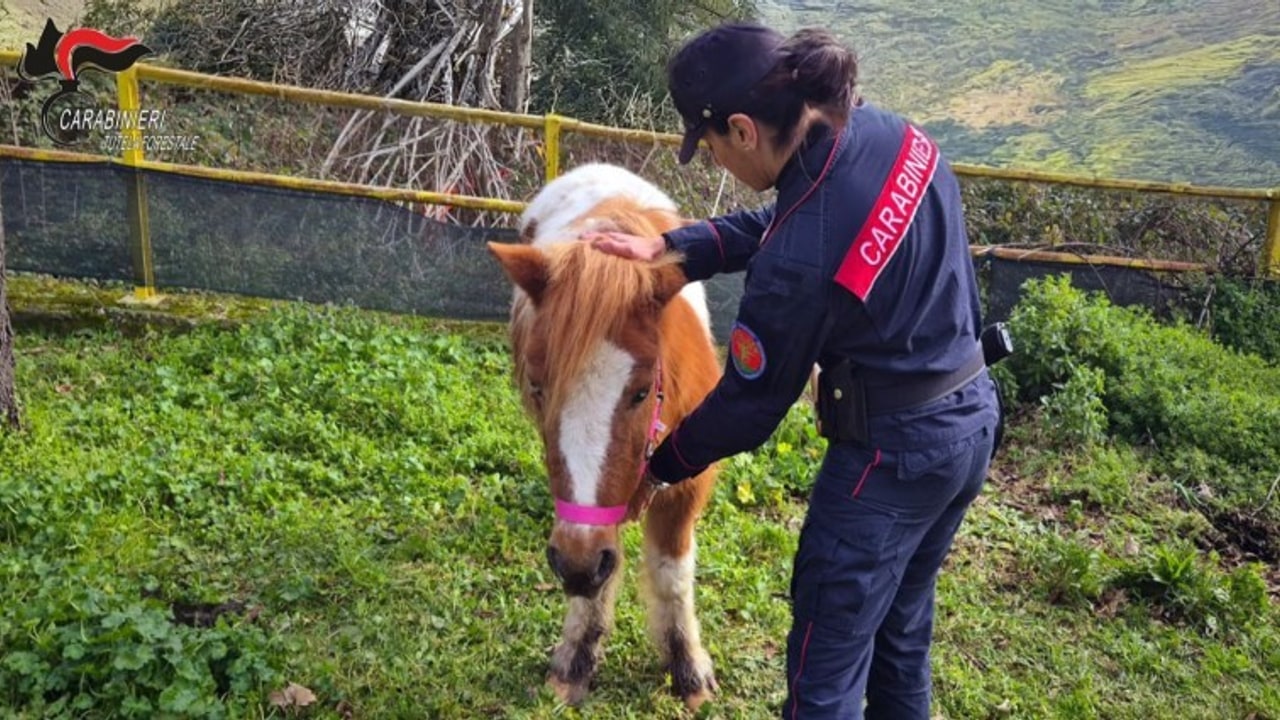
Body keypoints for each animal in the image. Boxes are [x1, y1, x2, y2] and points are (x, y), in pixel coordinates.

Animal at [487, 163, 723, 710]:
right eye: (538, 387)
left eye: (640, 392)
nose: (573, 564)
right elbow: (597, 580)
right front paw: (575, 662)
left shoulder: (688, 483)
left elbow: (671, 575)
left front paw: (688, 668)